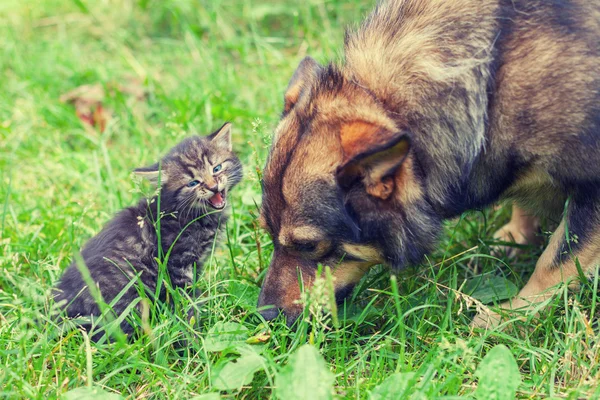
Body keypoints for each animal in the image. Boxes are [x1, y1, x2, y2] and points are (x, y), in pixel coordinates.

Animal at [52, 122, 243, 338]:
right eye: (193, 183)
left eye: (216, 168)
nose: (212, 187)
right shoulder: (177, 264)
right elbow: (186, 301)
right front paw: (192, 332)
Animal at [256, 0, 600, 328]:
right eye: (266, 231)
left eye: (308, 245)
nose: (264, 317)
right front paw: (517, 235)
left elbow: (555, 261)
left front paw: (514, 315)